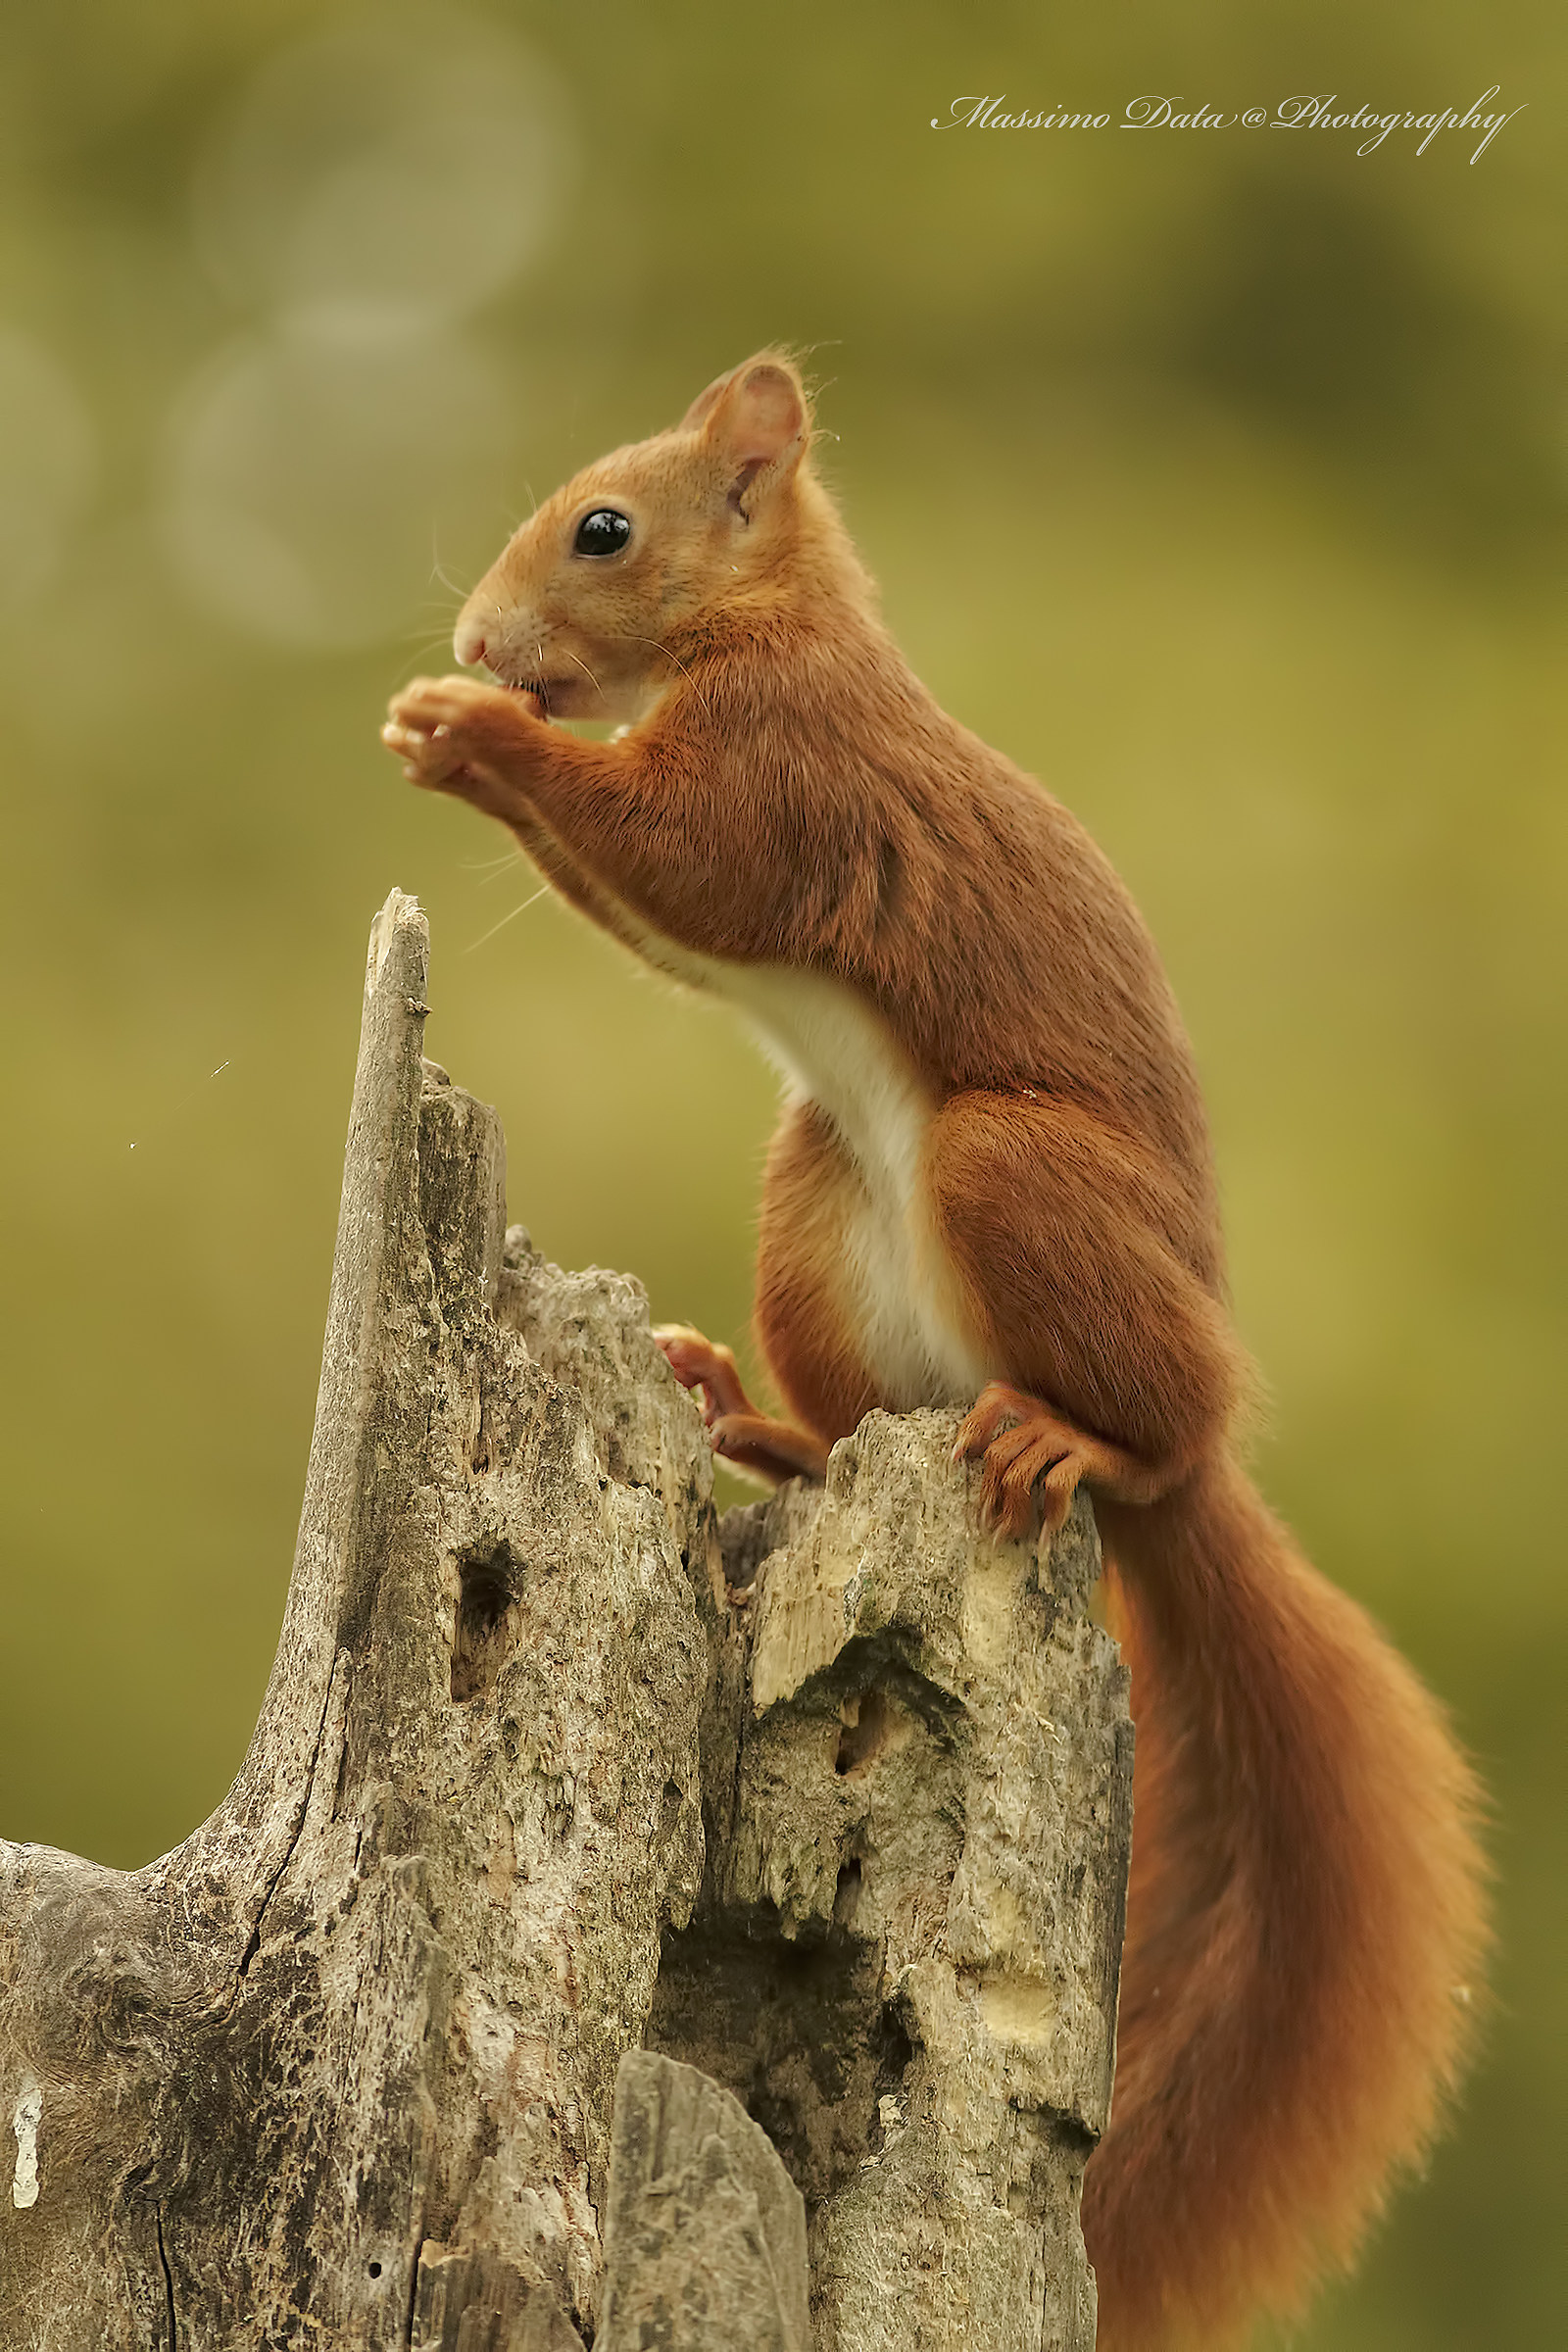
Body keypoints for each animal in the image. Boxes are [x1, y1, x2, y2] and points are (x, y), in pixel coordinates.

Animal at [382, 353, 1489, 2351]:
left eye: (605, 529)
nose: (481, 642)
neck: (778, 626)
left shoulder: (790, 773)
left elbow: (690, 861)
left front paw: (474, 736)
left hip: (1009, 1173)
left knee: (1151, 1423)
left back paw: (1078, 1444)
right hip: (816, 1202)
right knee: (853, 1428)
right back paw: (757, 1424)